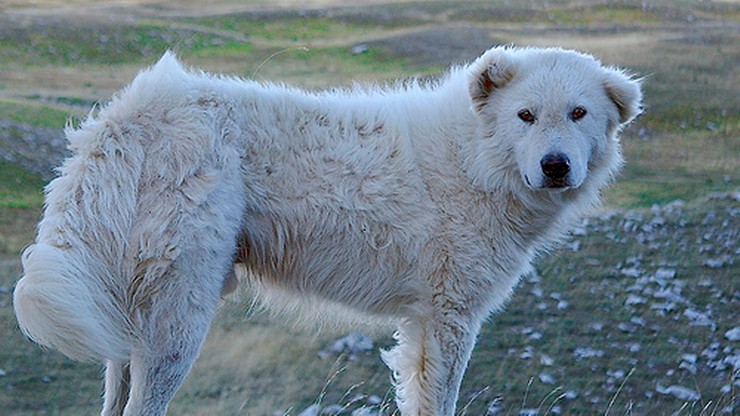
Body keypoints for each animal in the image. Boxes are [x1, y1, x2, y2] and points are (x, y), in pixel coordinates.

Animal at [15, 47, 640, 414]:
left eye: (579, 114)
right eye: (526, 116)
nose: (556, 166)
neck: (474, 159)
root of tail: (137, 110)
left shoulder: (422, 323)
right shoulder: (450, 316)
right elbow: (440, 397)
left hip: (134, 314)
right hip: (179, 318)